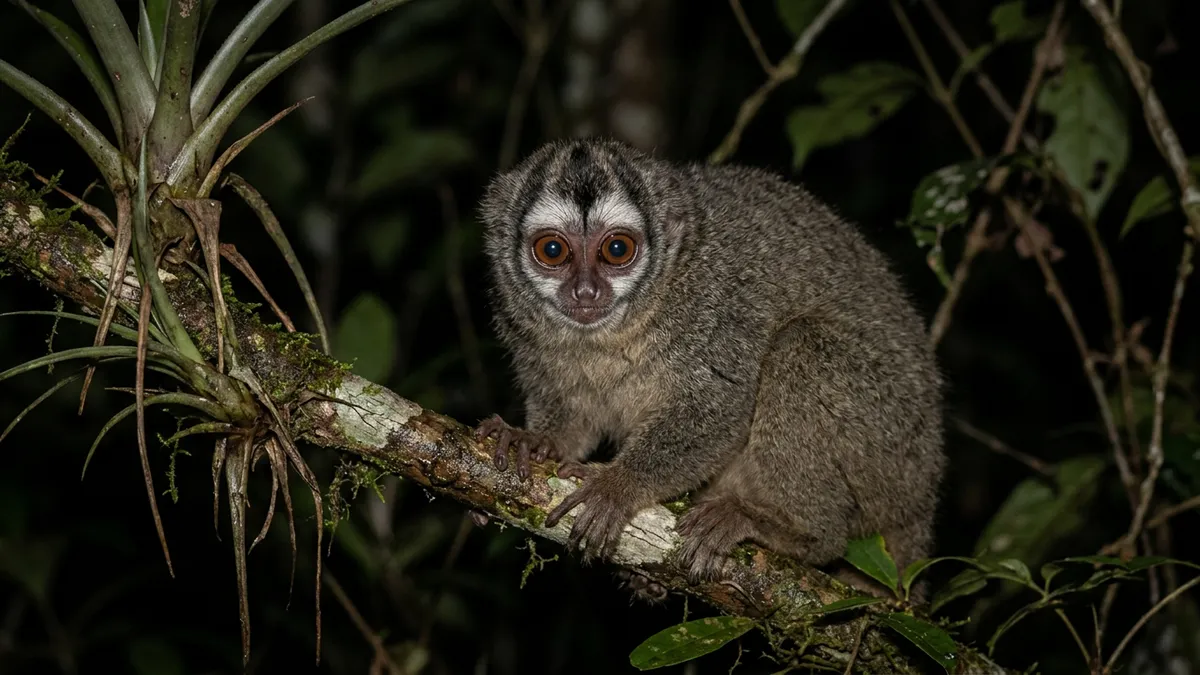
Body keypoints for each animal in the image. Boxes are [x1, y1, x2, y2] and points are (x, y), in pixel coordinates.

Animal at [472, 138, 945, 598]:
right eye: (552, 250)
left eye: (616, 249)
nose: (585, 292)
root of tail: (922, 505)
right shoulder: (520, 324)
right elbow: (574, 417)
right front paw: (534, 442)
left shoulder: (715, 304)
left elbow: (720, 408)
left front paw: (616, 487)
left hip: (890, 456)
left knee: (800, 345)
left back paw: (795, 532)